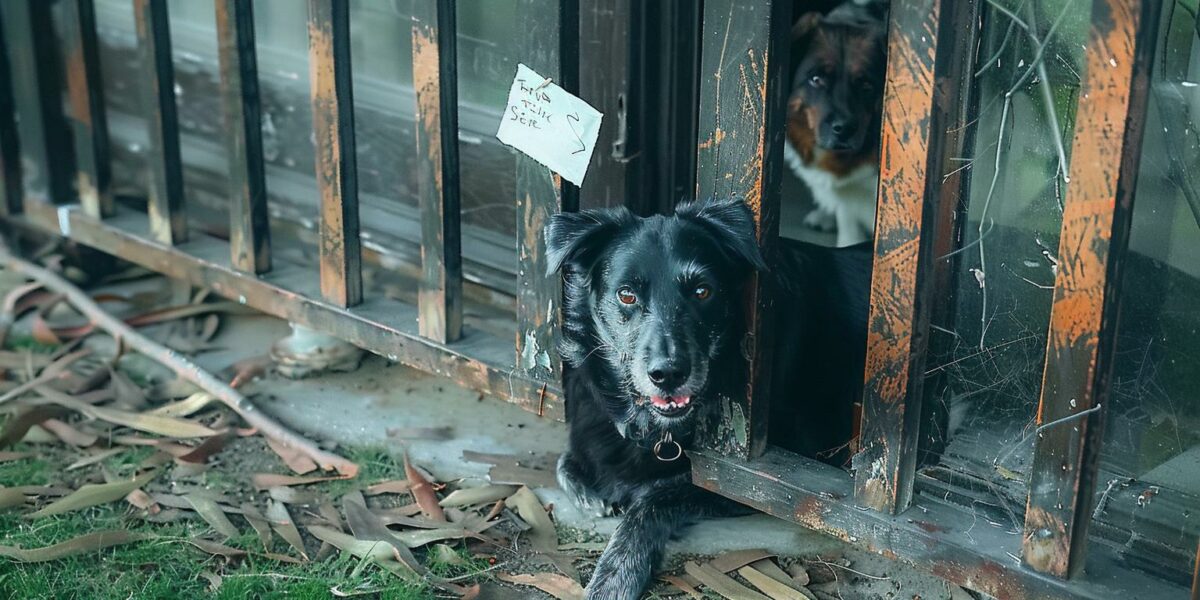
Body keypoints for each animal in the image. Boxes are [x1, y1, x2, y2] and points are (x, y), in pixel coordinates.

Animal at [547, 196, 873, 595]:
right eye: (626, 294)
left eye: (703, 291)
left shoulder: (759, 482)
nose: (668, 374)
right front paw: (588, 487)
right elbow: (566, 461)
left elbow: (656, 497)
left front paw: (615, 574)